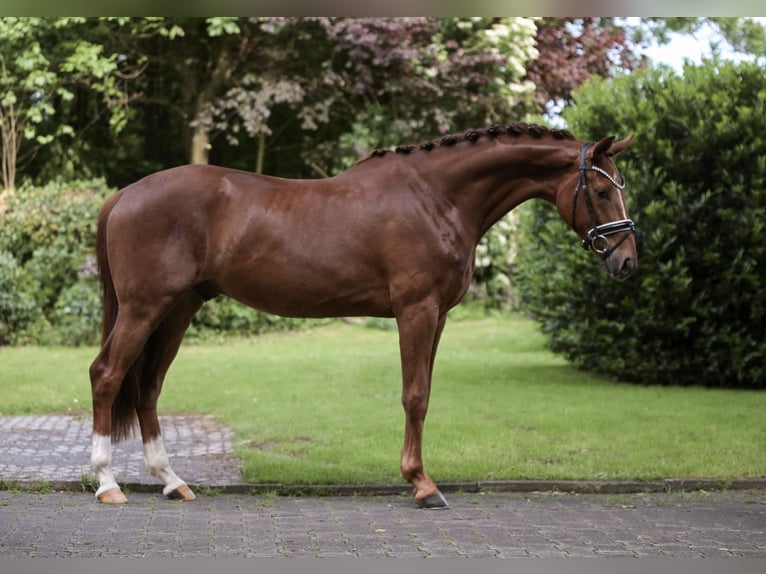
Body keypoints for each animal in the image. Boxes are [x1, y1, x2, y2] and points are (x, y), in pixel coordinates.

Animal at [89, 122, 637, 507]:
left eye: (619, 187)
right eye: (602, 191)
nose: (627, 261)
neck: (436, 198)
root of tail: (124, 195)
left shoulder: (438, 316)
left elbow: (425, 393)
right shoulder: (416, 310)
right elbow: (415, 396)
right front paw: (422, 485)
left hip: (178, 309)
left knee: (148, 386)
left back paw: (172, 481)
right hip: (144, 308)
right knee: (108, 375)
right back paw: (107, 483)